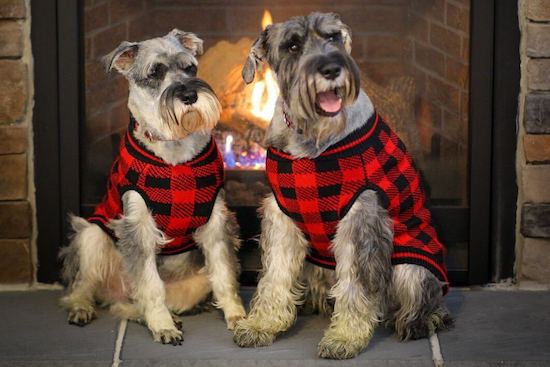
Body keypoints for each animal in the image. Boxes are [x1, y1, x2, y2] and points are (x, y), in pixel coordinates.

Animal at [58, 30, 246, 346]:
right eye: (154, 73)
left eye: (190, 67)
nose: (189, 95)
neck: (174, 149)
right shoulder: (138, 224)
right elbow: (149, 283)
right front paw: (163, 326)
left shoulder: (216, 220)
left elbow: (224, 273)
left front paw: (238, 316)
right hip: (93, 235)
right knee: (87, 285)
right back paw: (82, 308)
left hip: (195, 283)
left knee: (130, 304)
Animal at [233, 12, 452, 360]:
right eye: (292, 45)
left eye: (333, 37)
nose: (331, 69)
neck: (311, 141)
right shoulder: (282, 215)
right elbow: (274, 275)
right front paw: (260, 325)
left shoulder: (359, 217)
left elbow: (356, 285)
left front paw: (345, 338)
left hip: (410, 266)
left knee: (423, 302)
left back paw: (418, 321)